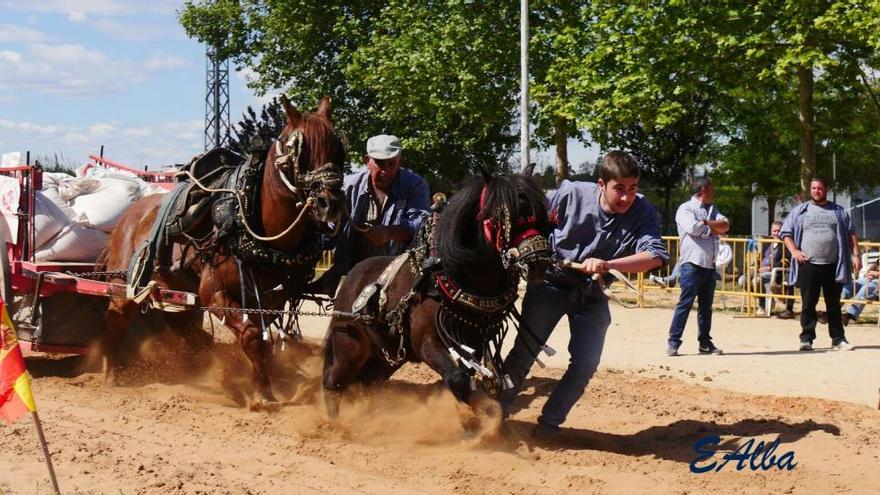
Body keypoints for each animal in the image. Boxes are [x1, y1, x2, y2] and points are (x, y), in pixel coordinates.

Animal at [99, 97, 348, 406]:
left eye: (338, 150)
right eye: (300, 152)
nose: (331, 204)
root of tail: (127, 217)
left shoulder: (272, 296)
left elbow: (262, 337)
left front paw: (263, 383)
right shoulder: (213, 292)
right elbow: (251, 335)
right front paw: (263, 394)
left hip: (175, 293)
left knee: (186, 331)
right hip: (122, 285)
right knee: (115, 321)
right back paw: (111, 376)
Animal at [320, 172, 552, 416]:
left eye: (540, 212)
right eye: (503, 215)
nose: (538, 262)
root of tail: (348, 279)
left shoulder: (471, 342)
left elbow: (467, 376)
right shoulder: (426, 343)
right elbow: (458, 379)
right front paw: (469, 416)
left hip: (385, 356)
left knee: (365, 382)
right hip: (350, 347)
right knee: (333, 382)